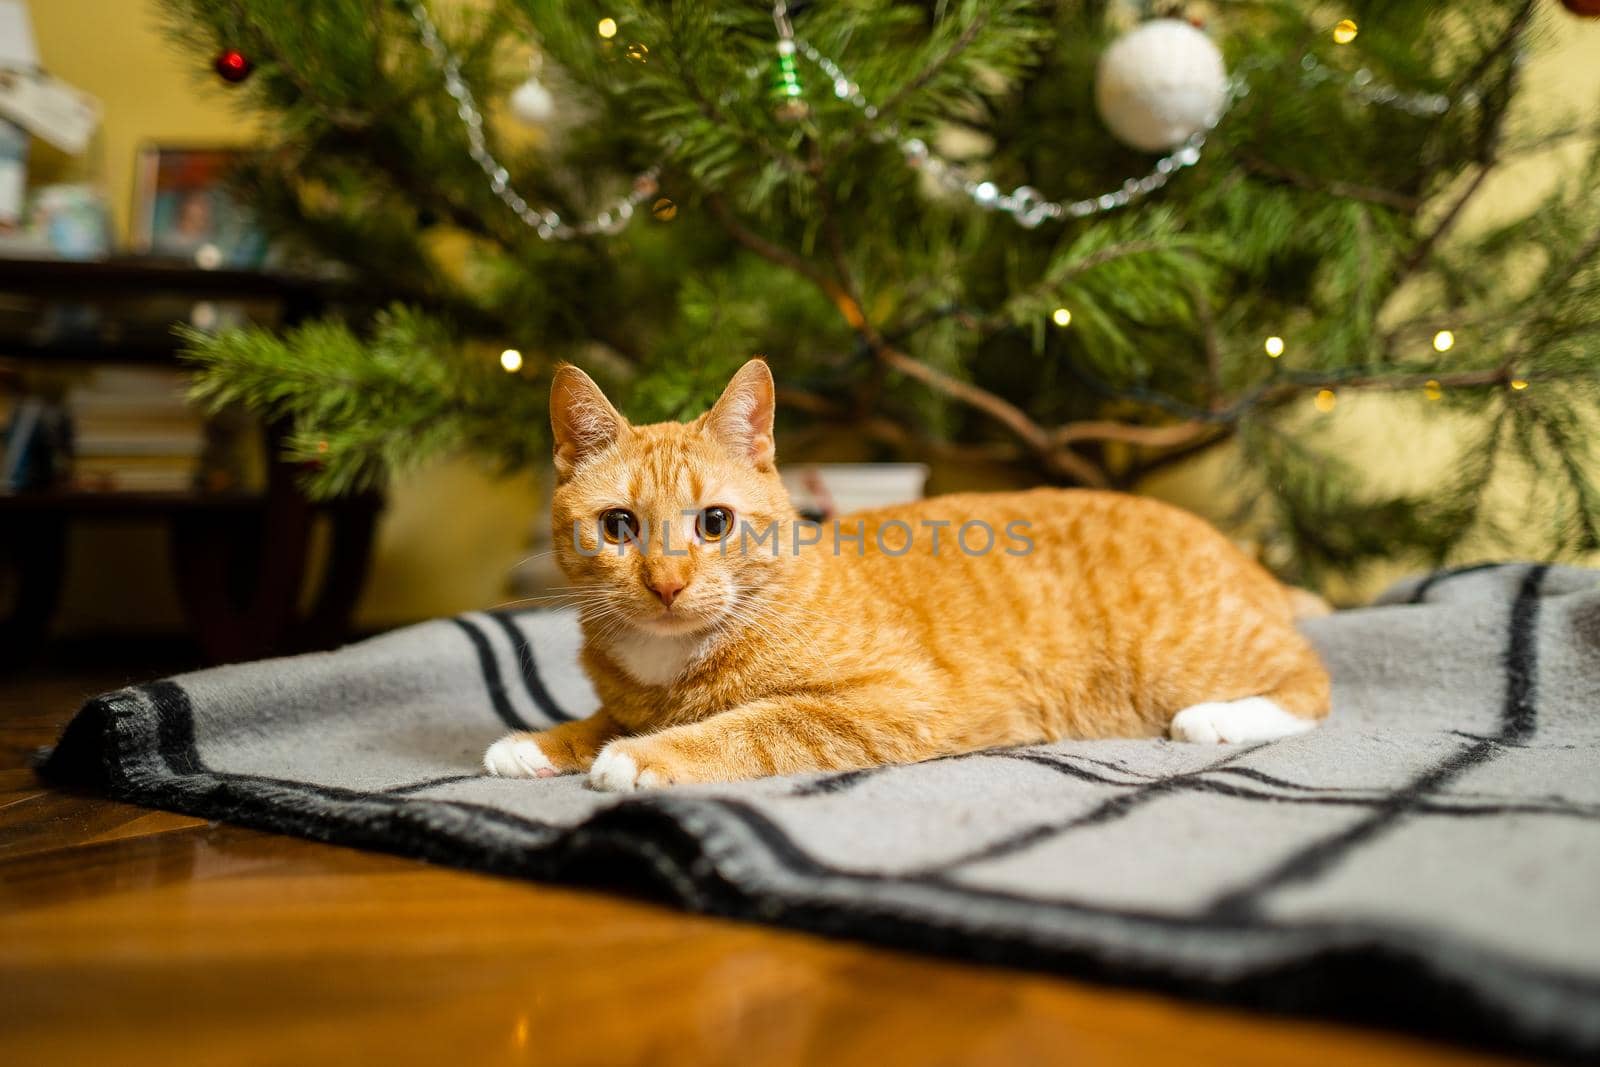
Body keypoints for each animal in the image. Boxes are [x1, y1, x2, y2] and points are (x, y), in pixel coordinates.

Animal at [480, 363, 1331, 790]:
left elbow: (755, 723)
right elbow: (604, 717)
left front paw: (648, 754)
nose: (665, 583)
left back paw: (1219, 717)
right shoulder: (629, 696)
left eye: (714, 522)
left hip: (1185, 654)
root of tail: (1232, 549)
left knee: (1313, 682)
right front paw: (546, 741)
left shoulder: (892, 700)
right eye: (619, 527)